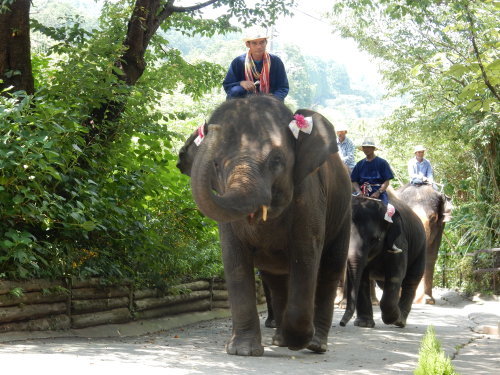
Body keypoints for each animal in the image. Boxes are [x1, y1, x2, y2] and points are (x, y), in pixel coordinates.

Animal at [177, 95, 352, 356]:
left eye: (277, 160)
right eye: (216, 164)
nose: (212, 129)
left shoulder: (310, 197)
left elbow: (306, 255)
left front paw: (297, 341)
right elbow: (234, 259)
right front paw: (242, 351)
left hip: (344, 214)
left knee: (329, 270)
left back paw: (315, 344)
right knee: (276, 280)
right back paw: (279, 339)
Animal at [340, 194, 426, 328]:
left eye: (374, 240)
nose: (342, 323)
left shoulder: (400, 242)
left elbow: (396, 275)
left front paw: (392, 319)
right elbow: (362, 279)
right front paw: (364, 324)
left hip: (421, 248)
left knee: (411, 281)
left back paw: (400, 321)